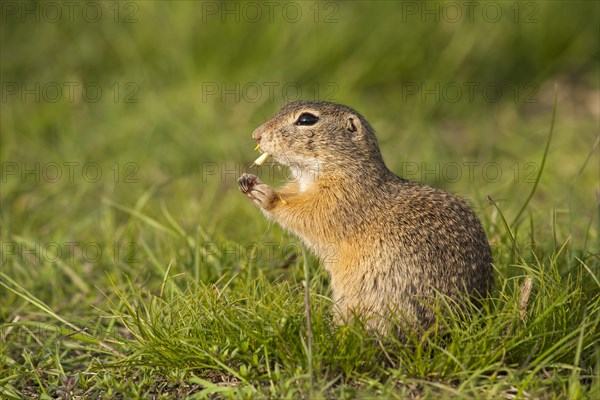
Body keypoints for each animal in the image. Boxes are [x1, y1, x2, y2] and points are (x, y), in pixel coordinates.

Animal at [238, 101, 492, 336]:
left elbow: (308, 215)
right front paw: (247, 180)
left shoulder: (338, 200)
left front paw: (267, 195)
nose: (256, 134)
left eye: (307, 119)